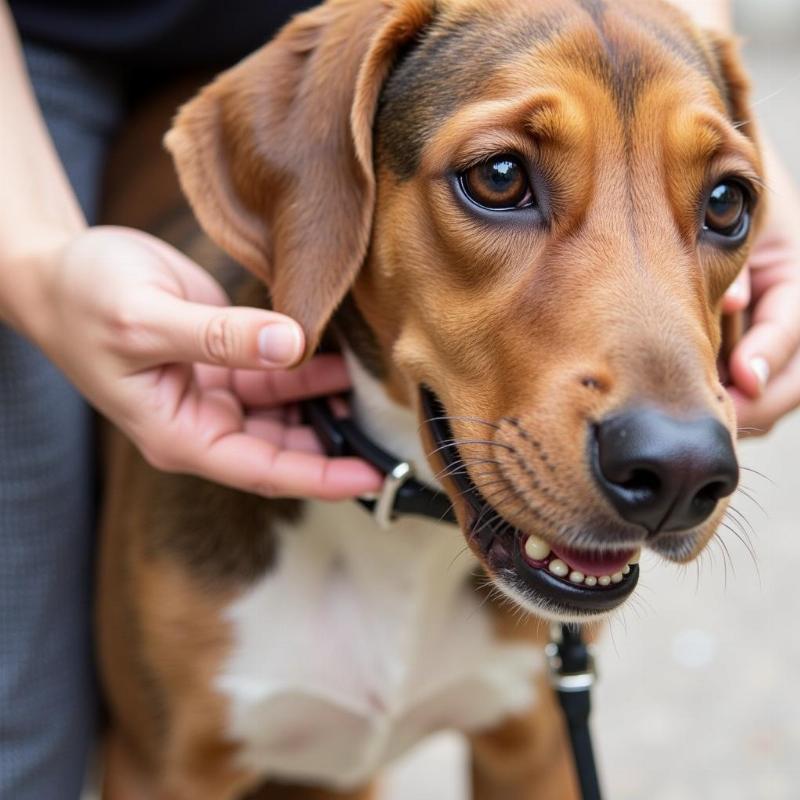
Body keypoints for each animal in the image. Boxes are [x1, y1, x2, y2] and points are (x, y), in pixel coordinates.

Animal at [98, 1, 764, 800]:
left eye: (728, 202)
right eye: (499, 178)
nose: (680, 472)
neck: (401, 538)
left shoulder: (534, 749)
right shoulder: (161, 767)